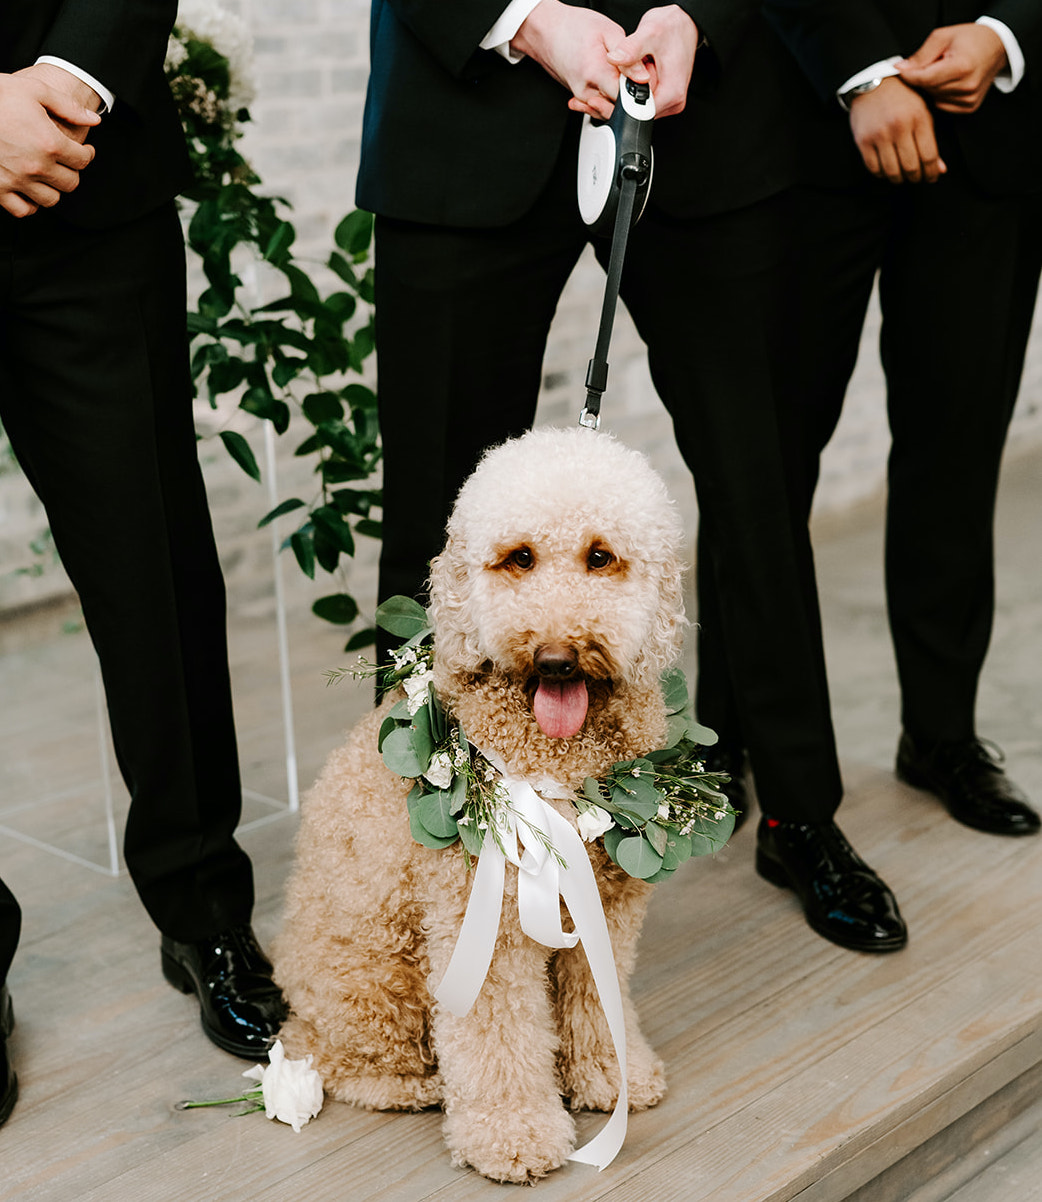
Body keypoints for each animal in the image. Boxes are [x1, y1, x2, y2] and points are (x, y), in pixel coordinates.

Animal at [277, 425, 701, 1182]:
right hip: (377, 979)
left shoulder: (607, 903)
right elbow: (497, 1031)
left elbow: (599, 996)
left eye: (601, 556)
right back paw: (411, 1086)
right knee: (331, 1057)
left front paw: (609, 1076)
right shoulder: (485, 919)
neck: (554, 761)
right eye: (519, 558)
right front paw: (514, 1133)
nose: (558, 657)